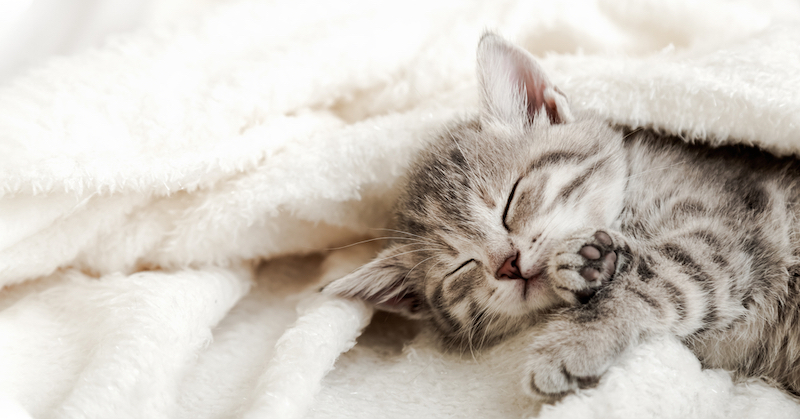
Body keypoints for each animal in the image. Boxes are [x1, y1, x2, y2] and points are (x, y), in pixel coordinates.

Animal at [322, 33, 800, 400]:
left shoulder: (728, 231)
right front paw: (590, 264)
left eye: (511, 201)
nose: (508, 265)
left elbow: (656, 277)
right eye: (459, 268)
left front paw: (574, 342)